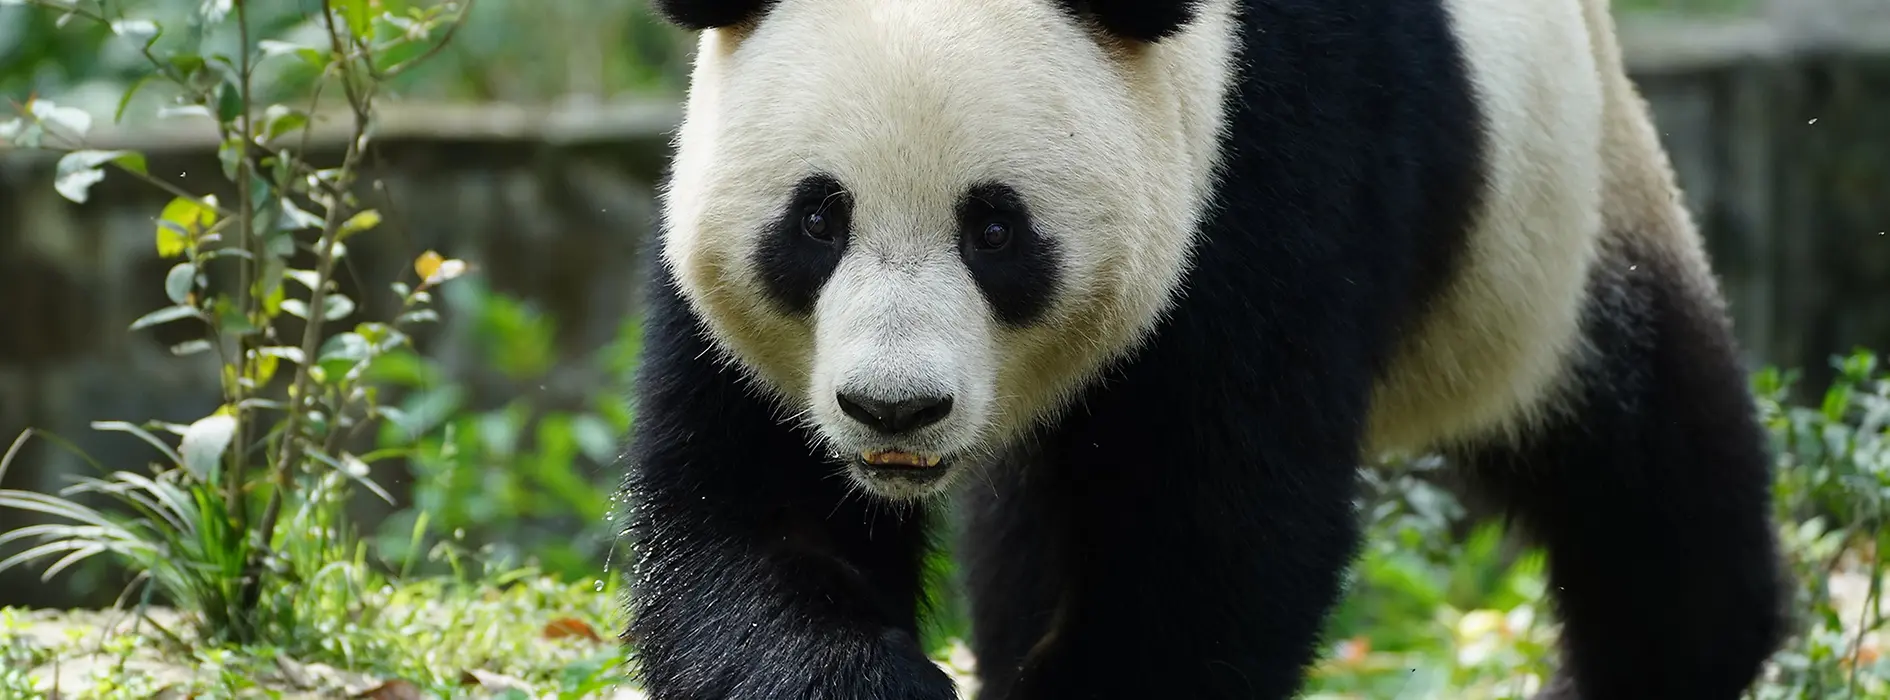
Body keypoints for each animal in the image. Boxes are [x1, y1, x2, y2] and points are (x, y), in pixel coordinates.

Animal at [618, 0, 1790, 697]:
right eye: (819, 219)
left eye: (995, 229)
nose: (893, 410)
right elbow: (749, 507)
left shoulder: (1277, 164)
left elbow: (1222, 528)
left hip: (1558, 233)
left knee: (1652, 477)